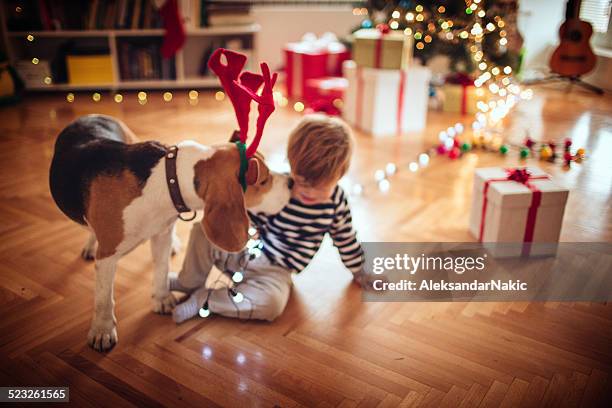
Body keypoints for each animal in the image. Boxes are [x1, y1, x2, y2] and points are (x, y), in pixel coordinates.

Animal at [49, 114, 288, 350]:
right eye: (264, 181)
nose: (292, 181)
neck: (169, 179)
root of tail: (91, 115)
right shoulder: (107, 256)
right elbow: (104, 297)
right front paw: (102, 330)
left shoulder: (162, 234)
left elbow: (161, 269)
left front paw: (162, 298)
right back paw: (92, 245)